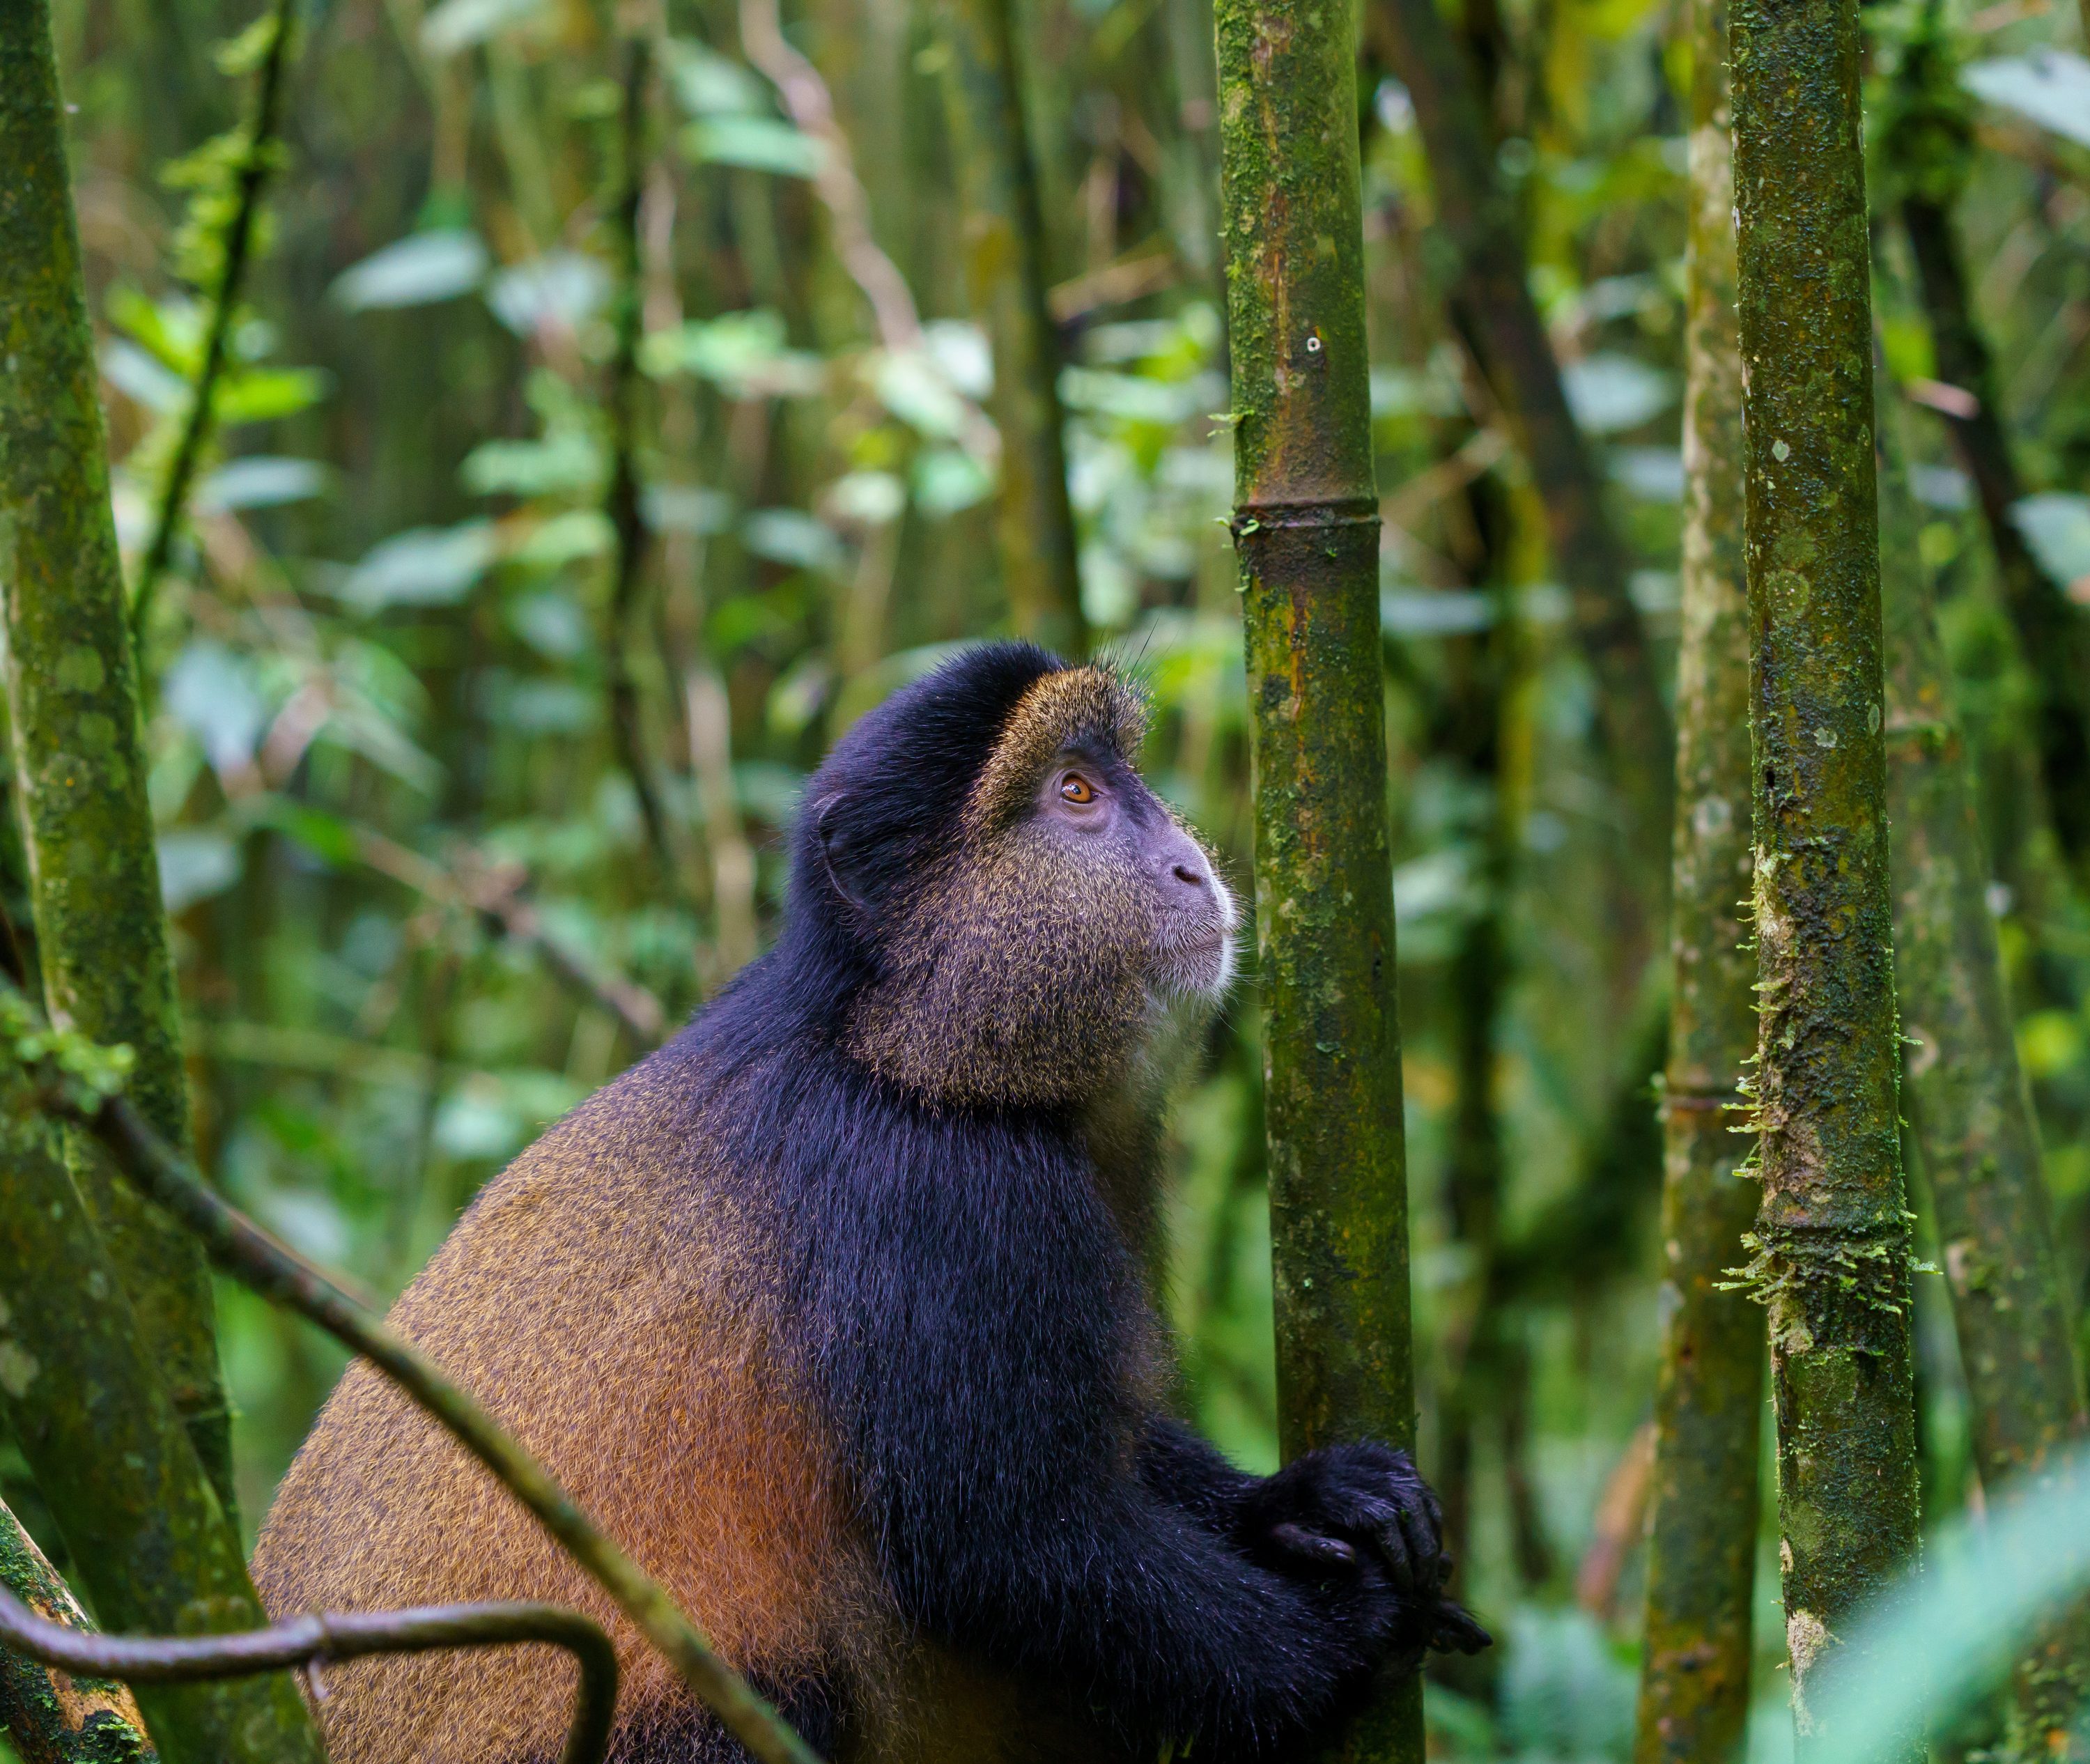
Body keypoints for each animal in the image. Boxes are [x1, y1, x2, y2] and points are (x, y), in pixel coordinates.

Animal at [252, 641, 1487, 1764]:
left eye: (1118, 776)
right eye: (1076, 795)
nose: (1191, 865)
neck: (902, 1051)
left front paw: (1313, 1501)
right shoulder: (942, 1206)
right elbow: (1011, 1547)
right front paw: (1350, 1629)